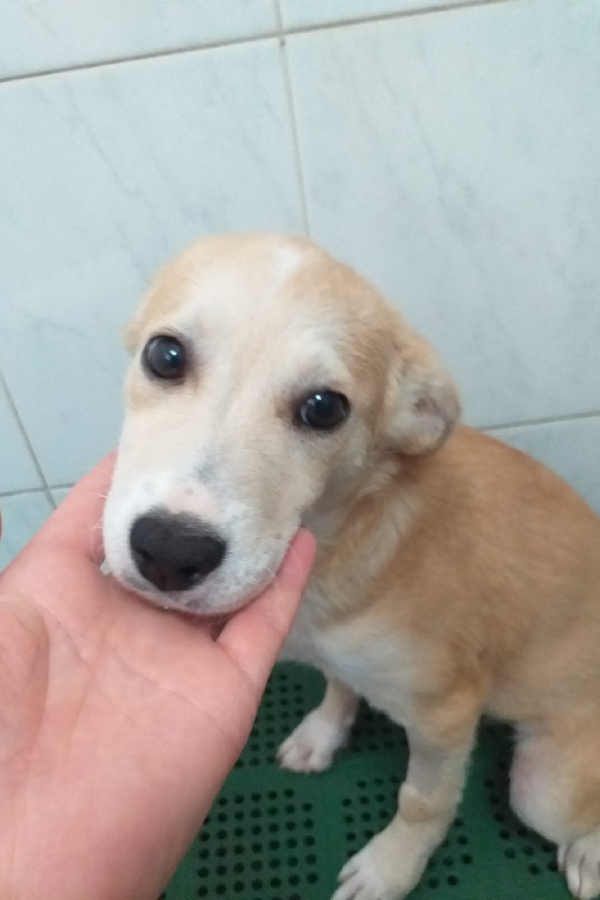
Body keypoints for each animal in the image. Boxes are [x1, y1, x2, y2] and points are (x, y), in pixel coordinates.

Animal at [104, 233, 600, 900]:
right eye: (165, 355)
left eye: (323, 408)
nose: (170, 551)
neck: (333, 554)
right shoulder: (337, 658)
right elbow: (339, 686)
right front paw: (322, 734)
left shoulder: (447, 712)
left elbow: (422, 801)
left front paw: (390, 867)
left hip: (544, 788)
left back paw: (589, 853)